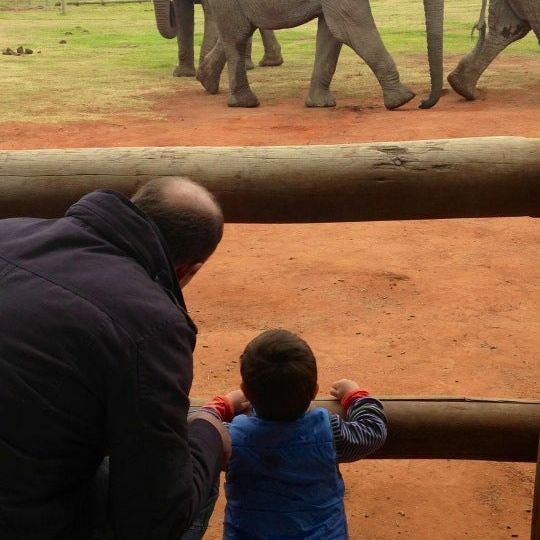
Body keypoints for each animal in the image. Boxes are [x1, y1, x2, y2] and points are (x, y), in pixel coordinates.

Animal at [194, 0, 442, 108]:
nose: (423, 103)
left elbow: (332, 31)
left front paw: (320, 104)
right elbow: (349, 23)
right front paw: (402, 100)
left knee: (243, 30)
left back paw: (206, 81)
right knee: (238, 34)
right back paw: (246, 103)